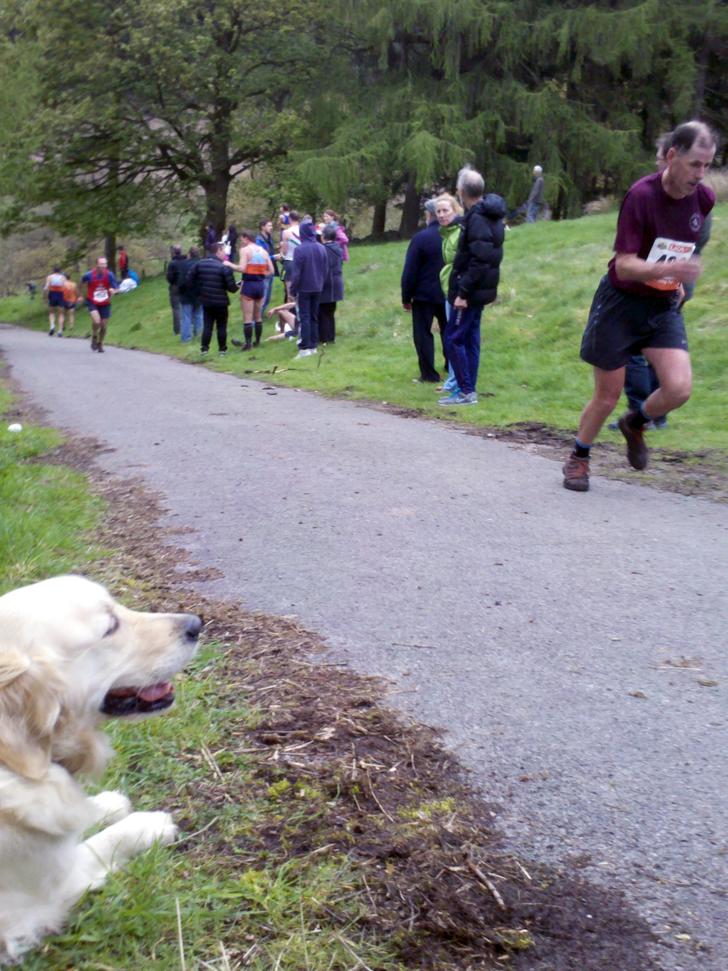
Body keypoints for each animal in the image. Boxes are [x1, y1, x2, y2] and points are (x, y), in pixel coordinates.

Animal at [0, 576, 202, 964]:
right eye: (110, 627)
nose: (196, 624)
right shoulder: (52, 889)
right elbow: (103, 841)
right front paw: (149, 824)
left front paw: (106, 803)